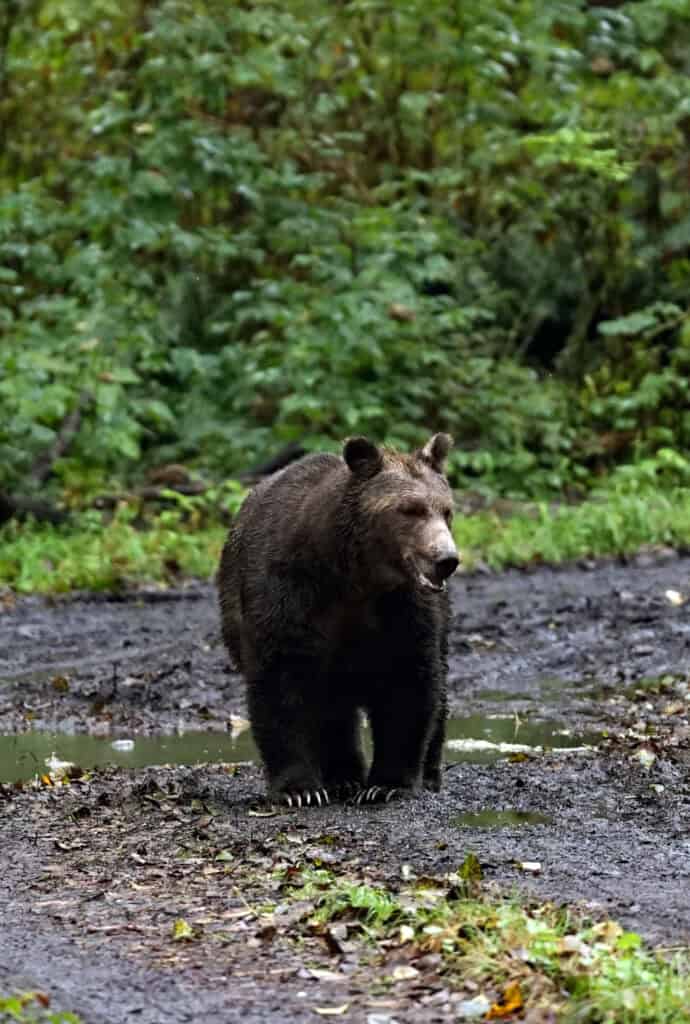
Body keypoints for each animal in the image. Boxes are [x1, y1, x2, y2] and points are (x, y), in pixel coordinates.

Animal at [218, 433, 458, 806]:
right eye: (410, 509)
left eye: (447, 511)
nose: (446, 559)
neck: (354, 577)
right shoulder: (286, 595)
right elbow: (280, 682)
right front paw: (298, 789)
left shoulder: (403, 609)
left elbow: (409, 682)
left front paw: (387, 784)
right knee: (331, 711)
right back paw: (341, 779)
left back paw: (427, 774)